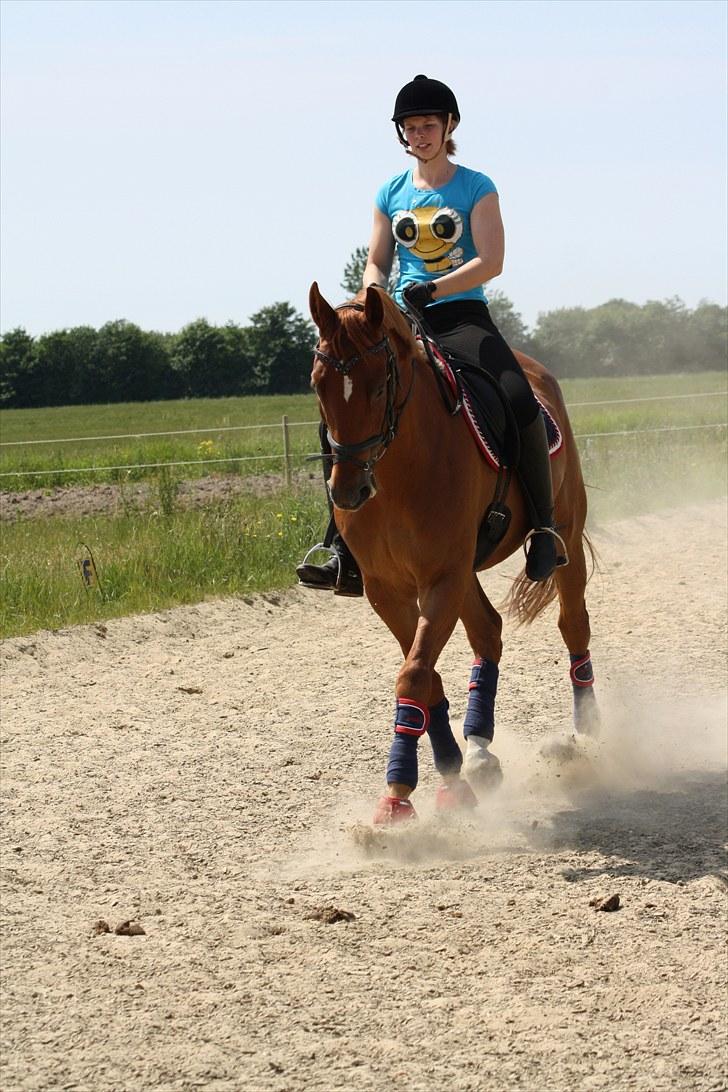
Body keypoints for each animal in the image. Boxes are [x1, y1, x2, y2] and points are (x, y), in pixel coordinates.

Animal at [307, 277, 598, 821]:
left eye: (380, 385)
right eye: (318, 385)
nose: (348, 492)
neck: (399, 475)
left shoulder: (442, 576)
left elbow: (414, 675)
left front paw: (397, 796)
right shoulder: (388, 588)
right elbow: (425, 675)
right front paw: (451, 775)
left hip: (564, 535)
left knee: (573, 624)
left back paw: (587, 731)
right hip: (466, 571)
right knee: (488, 630)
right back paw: (480, 750)